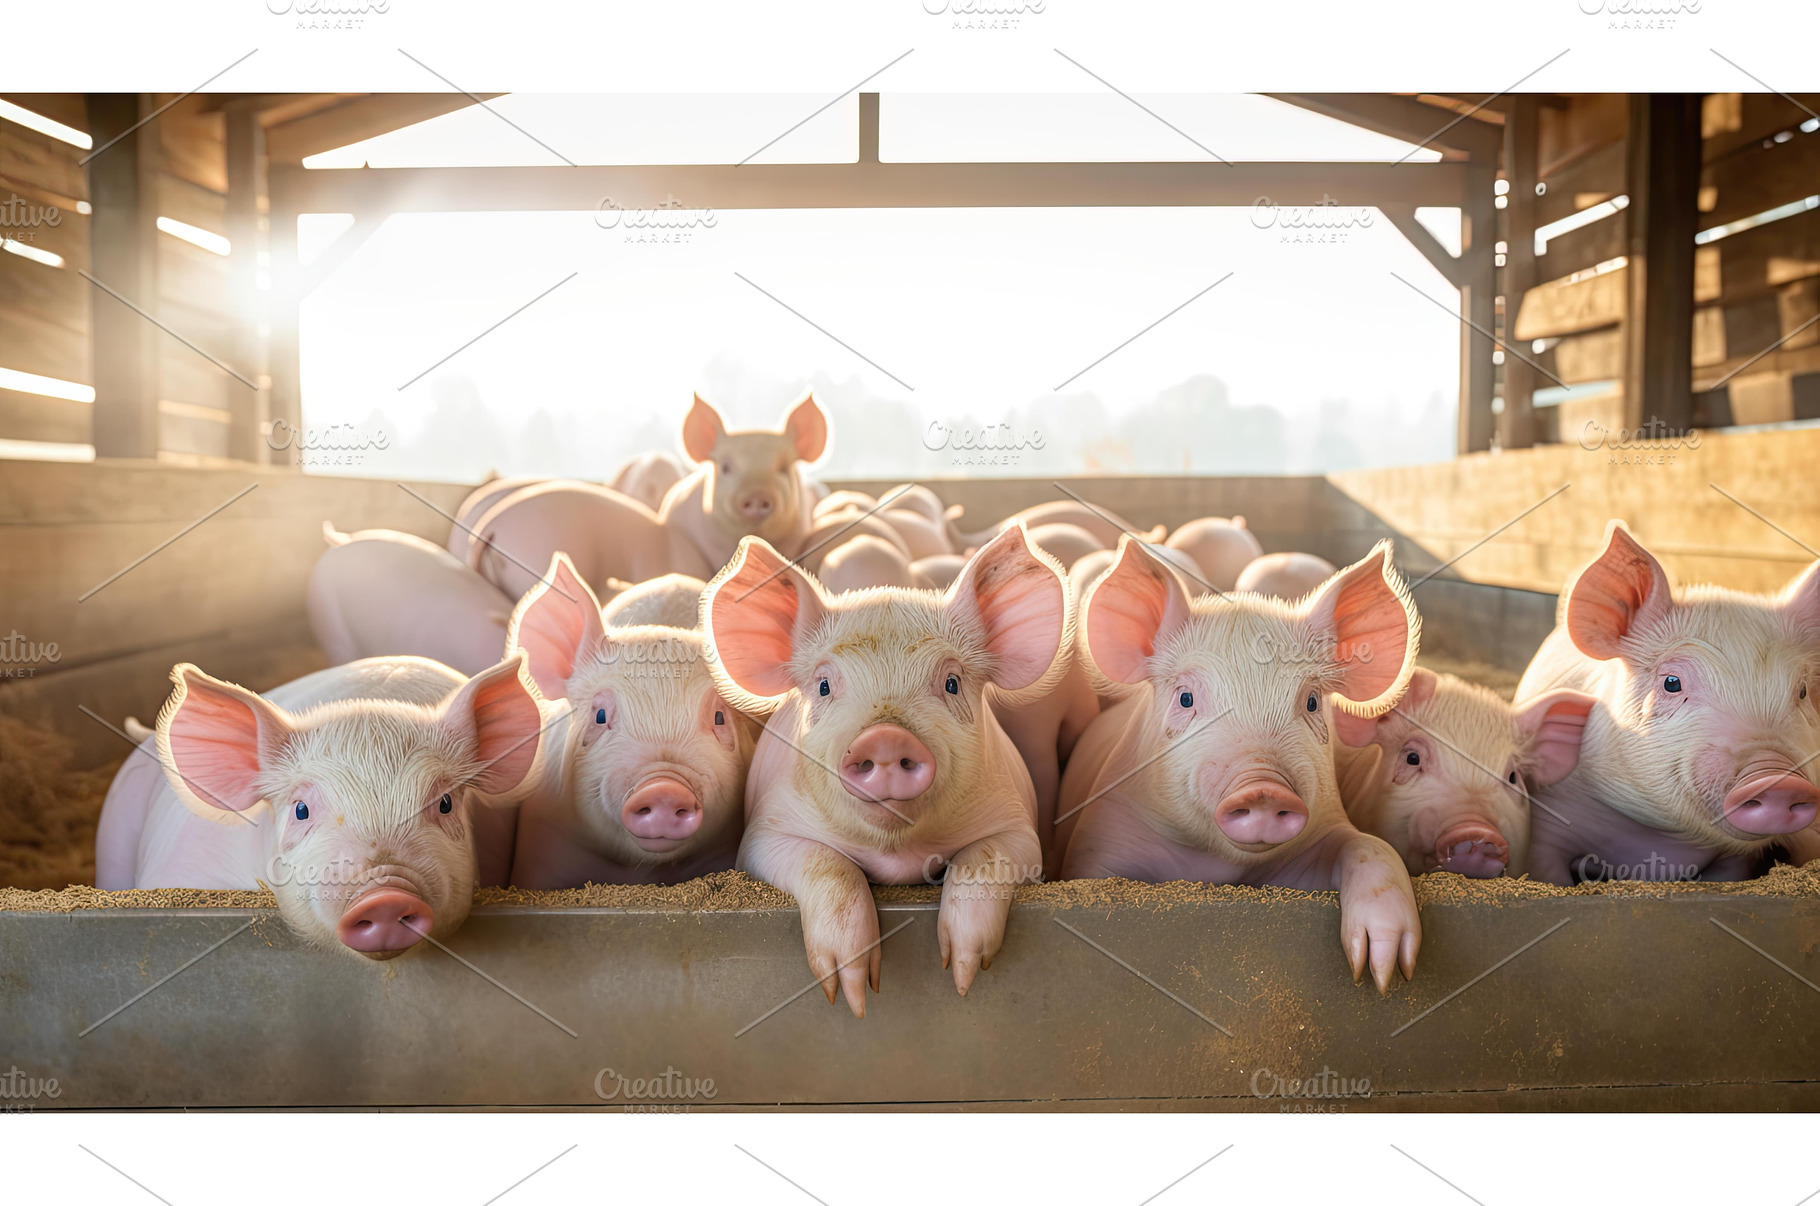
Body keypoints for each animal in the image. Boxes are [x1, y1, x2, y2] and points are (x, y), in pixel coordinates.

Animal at [702, 526, 1072, 1015]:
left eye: (952, 682)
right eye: (824, 685)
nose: (886, 738)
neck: (897, 856)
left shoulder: (1016, 825)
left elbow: (985, 858)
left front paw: (963, 974)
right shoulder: (764, 835)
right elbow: (828, 866)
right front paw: (854, 995)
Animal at [1058, 537, 1423, 992]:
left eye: (1311, 701)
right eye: (1185, 698)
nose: (1263, 787)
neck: (1220, 867)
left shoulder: (1326, 830)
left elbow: (1369, 845)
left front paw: (1386, 972)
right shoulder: (1103, 834)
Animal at [1516, 521, 1820, 883]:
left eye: (1802, 691)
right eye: (1671, 683)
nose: (1777, 777)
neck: (1660, 840)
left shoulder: (1737, 858)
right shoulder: (1547, 820)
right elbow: (1547, 871)